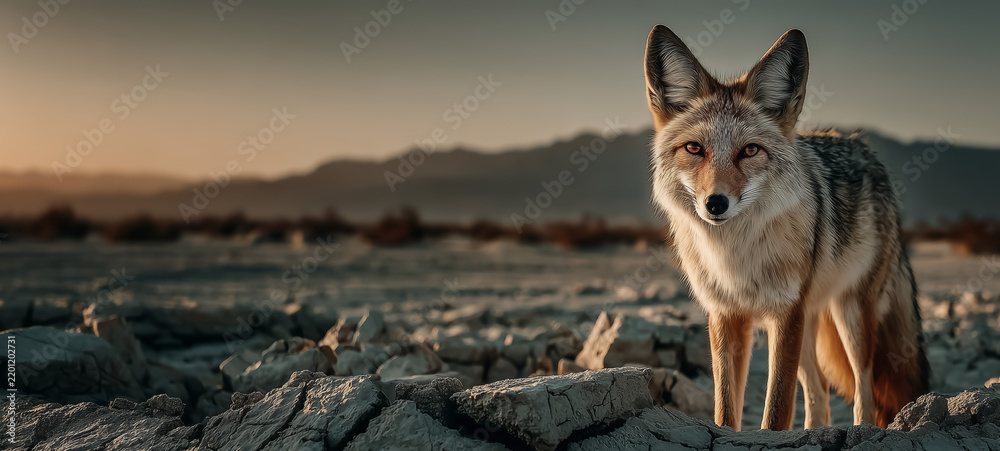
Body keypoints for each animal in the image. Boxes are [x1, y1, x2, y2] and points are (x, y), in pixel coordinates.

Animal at [642, 26, 929, 431]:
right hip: (810, 329)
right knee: (820, 393)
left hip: (851, 316)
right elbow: (725, 411)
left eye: (750, 151)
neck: (734, 256)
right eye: (694, 148)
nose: (715, 203)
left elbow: (776, 411)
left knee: (865, 391)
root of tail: (860, 145)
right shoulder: (726, 316)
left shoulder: (785, 314)